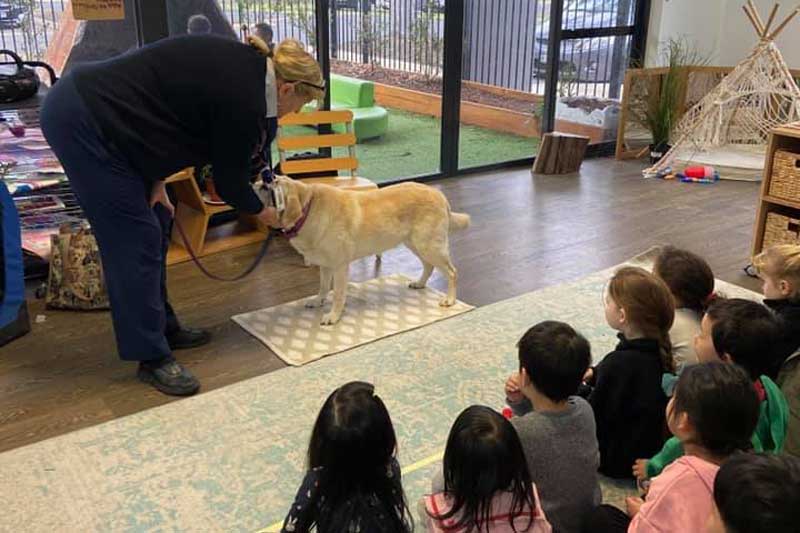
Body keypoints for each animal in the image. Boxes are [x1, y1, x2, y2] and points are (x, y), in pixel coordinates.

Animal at [270, 176, 468, 324]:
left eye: (274, 181)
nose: (267, 178)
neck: (308, 208)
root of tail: (440, 195)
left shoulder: (340, 266)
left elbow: (338, 294)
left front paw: (333, 316)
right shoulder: (325, 265)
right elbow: (323, 287)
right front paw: (318, 301)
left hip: (429, 246)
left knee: (452, 272)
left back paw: (450, 299)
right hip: (417, 245)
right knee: (429, 266)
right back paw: (420, 283)